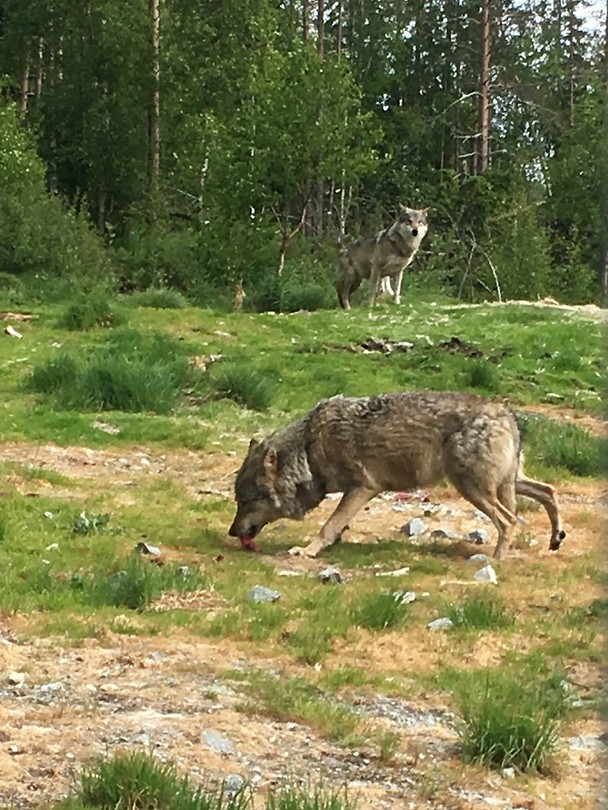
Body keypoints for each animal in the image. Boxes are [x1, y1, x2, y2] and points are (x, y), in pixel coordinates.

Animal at [228, 391, 565, 560]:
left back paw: (495, 560)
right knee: (548, 491)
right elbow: (338, 525)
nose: (232, 532)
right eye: (238, 501)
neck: (309, 450)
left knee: (509, 520)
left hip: (473, 489)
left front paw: (307, 551)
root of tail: (507, 414)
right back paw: (555, 538)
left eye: (247, 501)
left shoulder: (363, 487)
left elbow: (327, 526)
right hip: (505, 483)